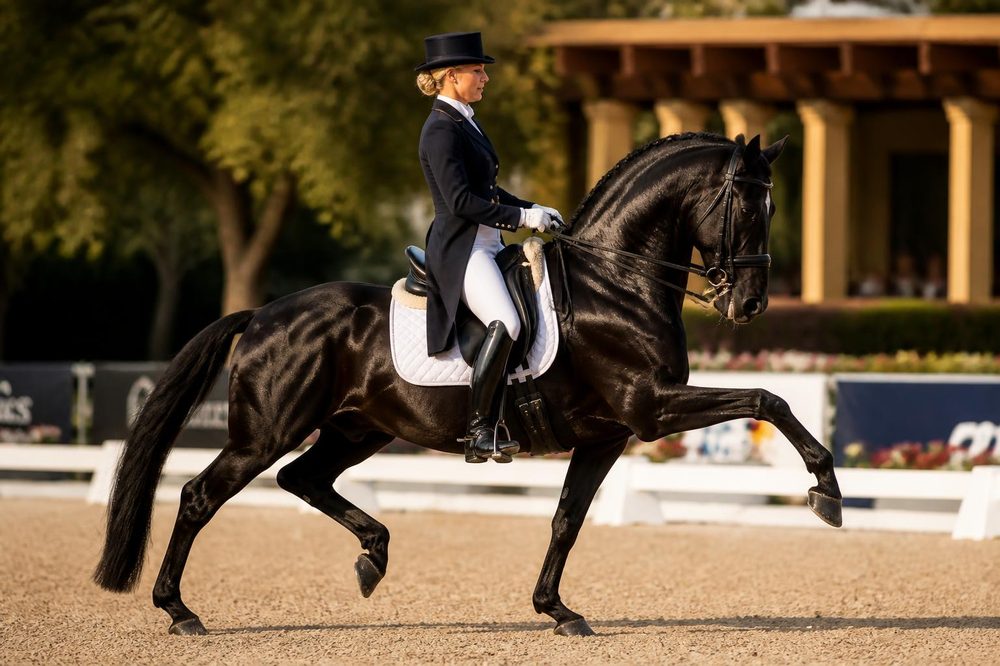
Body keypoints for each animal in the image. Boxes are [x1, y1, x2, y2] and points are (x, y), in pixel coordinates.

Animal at [94, 132, 842, 637]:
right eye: (748, 205)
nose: (750, 305)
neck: (615, 281)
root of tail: (263, 314)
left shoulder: (608, 434)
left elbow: (567, 518)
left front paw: (556, 610)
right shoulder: (651, 409)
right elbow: (769, 398)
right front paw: (826, 492)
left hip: (357, 429)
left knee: (302, 478)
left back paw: (372, 556)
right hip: (268, 431)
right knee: (201, 495)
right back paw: (178, 610)